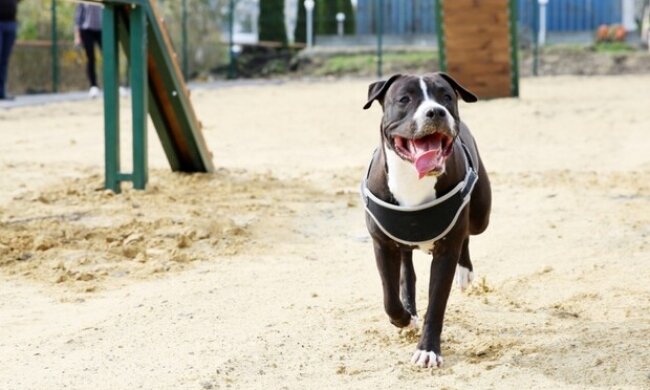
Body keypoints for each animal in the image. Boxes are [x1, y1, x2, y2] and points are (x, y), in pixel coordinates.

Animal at [360, 73, 492, 368]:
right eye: (404, 99)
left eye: (446, 96)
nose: (436, 112)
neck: (413, 177)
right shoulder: (382, 244)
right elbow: (389, 297)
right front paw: (405, 319)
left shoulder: (446, 250)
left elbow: (436, 304)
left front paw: (428, 350)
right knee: (406, 268)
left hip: (480, 216)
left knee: (468, 233)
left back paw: (465, 272)